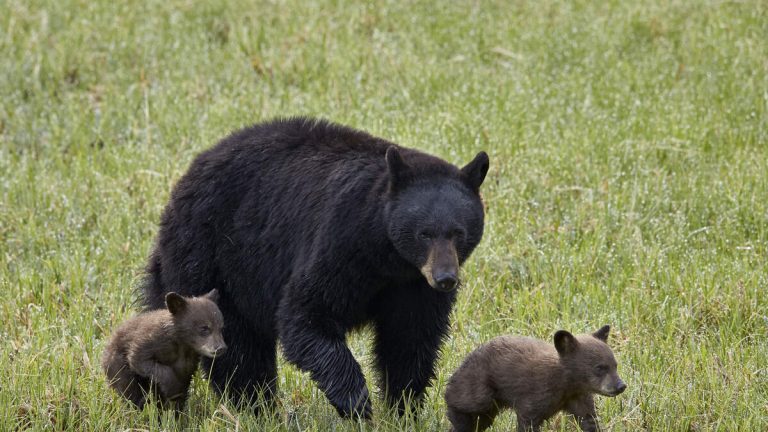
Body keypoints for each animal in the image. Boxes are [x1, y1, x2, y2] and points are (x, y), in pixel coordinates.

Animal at [140, 118, 486, 418]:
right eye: (424, 233)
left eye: (459, 233)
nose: (445, 278)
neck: (388, 258)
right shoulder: (340, 243)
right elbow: (306, 314)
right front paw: (357, 402)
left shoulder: (412, 286)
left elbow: (409, 339)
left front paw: (404, 408)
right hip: (212, 257)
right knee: (238, 345)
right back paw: (257, 407)